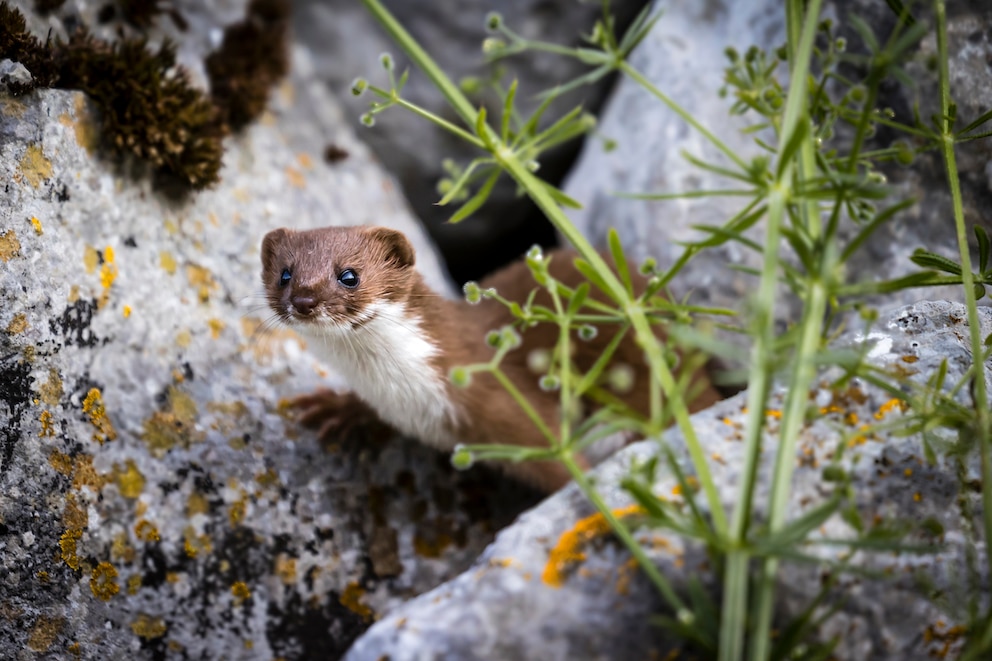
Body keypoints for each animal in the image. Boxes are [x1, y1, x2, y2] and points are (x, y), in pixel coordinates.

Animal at [260, 227, 716, 490]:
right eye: (285, 273)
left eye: (349, 275)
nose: (304, 300)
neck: (404, 396)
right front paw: (334, 408)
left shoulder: (507, 406)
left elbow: (562, 465)